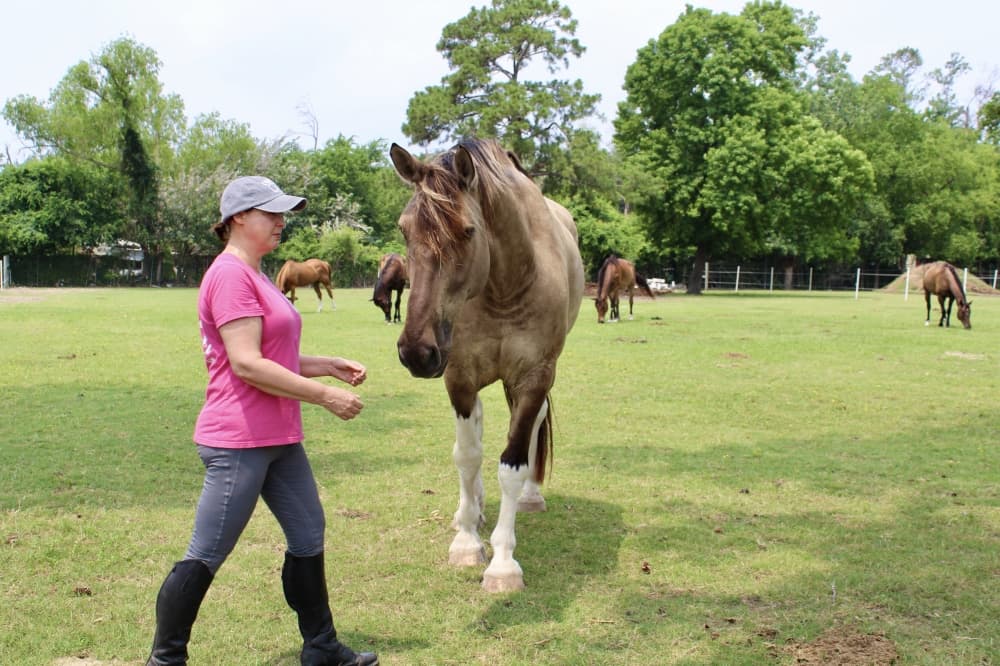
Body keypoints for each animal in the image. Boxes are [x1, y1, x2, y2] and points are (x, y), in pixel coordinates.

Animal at [389, 139, 584, 592]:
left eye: (467, 231)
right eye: (405, 230)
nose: (416, 352)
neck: (504, 285)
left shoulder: (533, 378)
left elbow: (512, 462)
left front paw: (503, 564)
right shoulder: (459, 376)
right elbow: (467, 455)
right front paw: (466, 541)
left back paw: (529, 497)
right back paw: (472, 509)